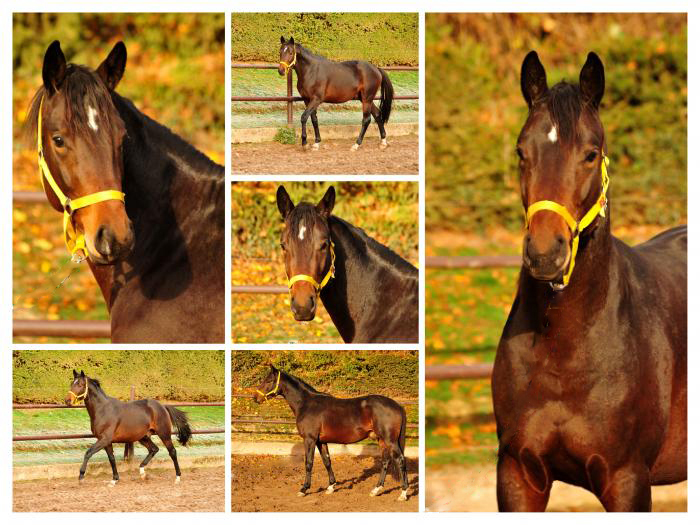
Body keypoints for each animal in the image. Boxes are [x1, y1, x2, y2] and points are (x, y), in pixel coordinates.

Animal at [253, 364, 410, 500]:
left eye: (269, 380)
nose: (255, 398)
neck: (306, 404)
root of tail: (397, 405)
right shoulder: (321, 441)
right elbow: (327, 461)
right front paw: (331, 486)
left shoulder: (309, 439)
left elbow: (308, 463)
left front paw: (304, 489)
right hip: (381, 439)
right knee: (385, 461)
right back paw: (376, 490)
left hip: (390, 440)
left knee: (400, 460)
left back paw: (403, 493)